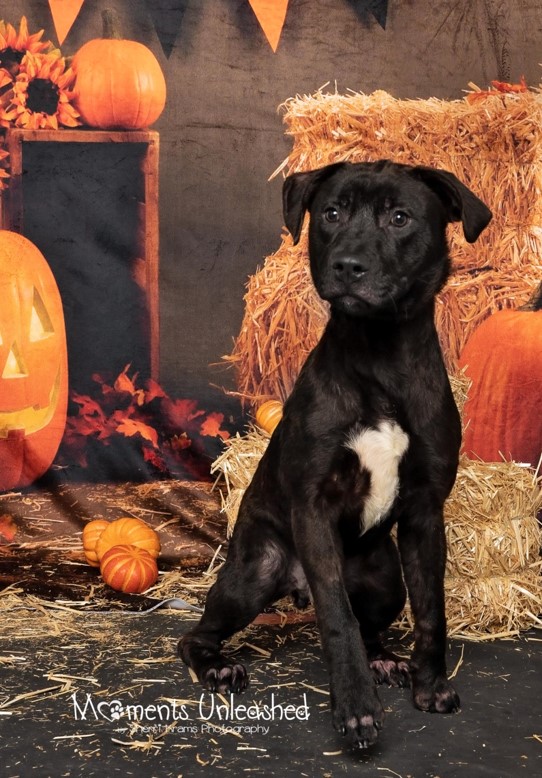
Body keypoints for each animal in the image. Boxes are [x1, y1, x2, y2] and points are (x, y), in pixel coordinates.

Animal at [179, 160, 492, 749]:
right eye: (331, 213)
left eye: (400, 218)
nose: (348, 265)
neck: (380, 357)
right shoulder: (314, 505)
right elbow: (337, 619)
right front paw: (355, 710)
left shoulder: (425, 512)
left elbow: (432, 611)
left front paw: (430, 685)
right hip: (254, 572)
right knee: (196, 635)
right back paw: (217, 666)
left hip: (386, 580)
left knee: (373, 624)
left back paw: (386, 659)